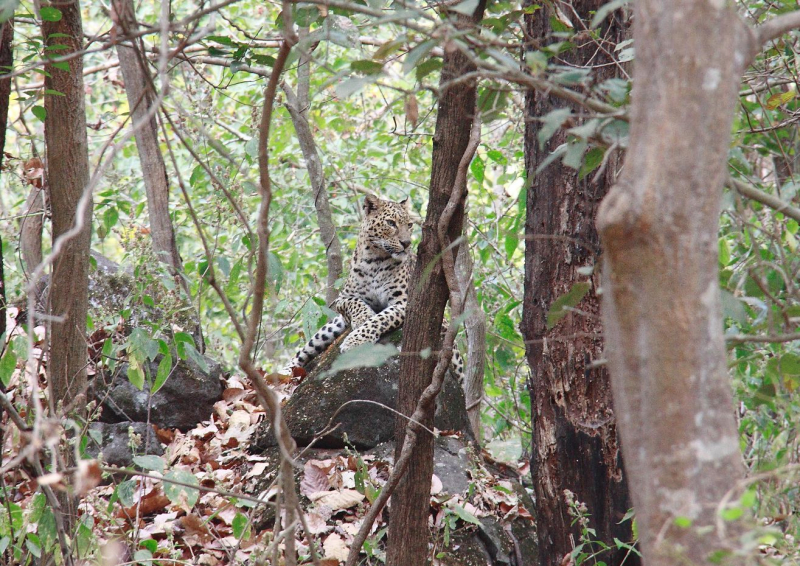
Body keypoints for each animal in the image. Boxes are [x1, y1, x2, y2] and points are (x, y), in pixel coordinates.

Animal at [288, 194, 466, 382]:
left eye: (410, 225)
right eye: (391, 223)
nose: (407, 243)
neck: (374, 260)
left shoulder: (405, 303)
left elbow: (380, 319)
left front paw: (354, 341)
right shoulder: (342, 298)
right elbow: (355, 303)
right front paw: (362, 317)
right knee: (303, 351)